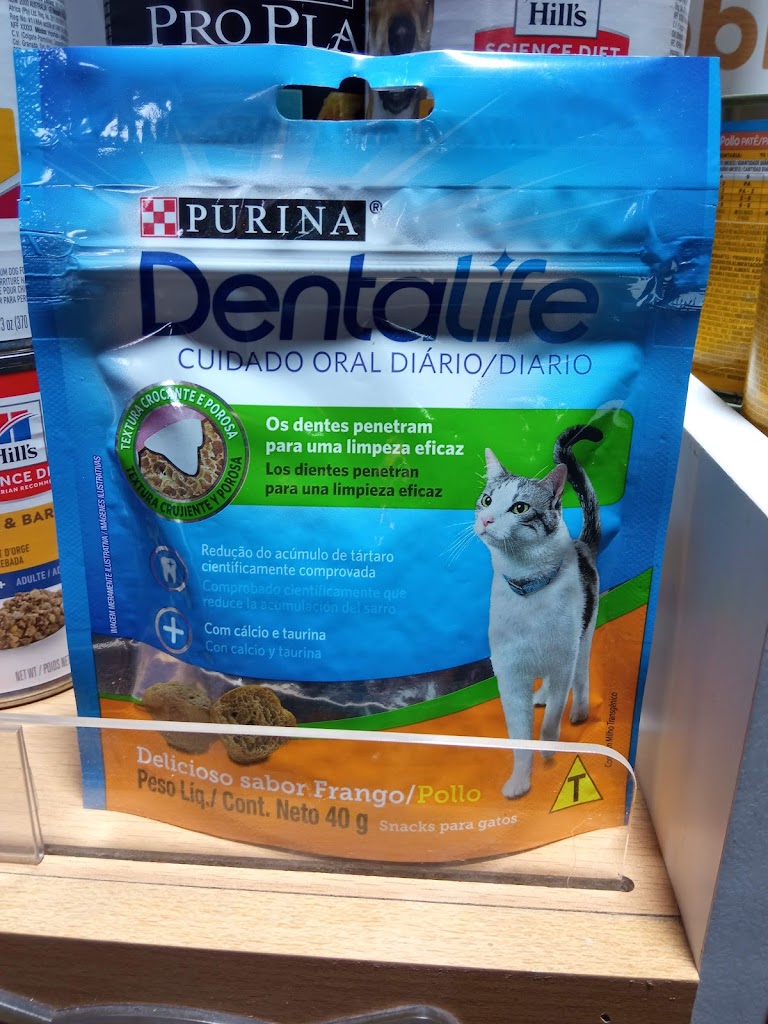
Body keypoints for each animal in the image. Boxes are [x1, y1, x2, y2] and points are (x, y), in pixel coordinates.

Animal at [474, 425, 603, 799]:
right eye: (487, 500)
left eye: (520, 507)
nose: (487, 519)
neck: (528, 590)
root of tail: (581, 545)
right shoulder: (510, 675)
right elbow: (519, 736)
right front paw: (520, 782)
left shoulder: (563, 660)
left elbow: (550, 722)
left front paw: (549, 750)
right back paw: (542, 695)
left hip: (584, 637)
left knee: (580, 677)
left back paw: (579, 712)